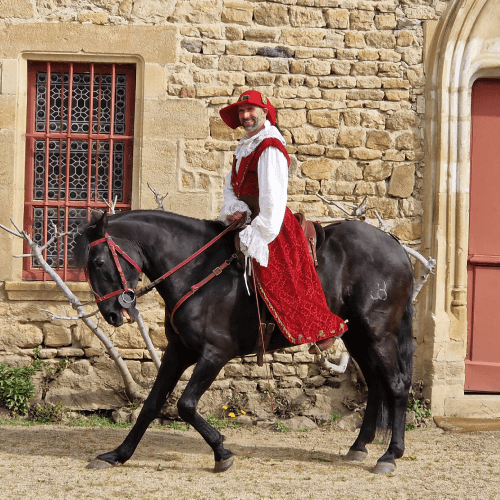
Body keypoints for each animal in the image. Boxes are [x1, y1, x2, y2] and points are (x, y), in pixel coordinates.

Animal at [74, 209, 416, 474]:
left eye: (99, 263)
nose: (111, 313)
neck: (197, 270)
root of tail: (396, 246)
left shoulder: (215, 353)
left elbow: (185, 405)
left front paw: (222, 451)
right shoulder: (179, 351)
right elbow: (152, 404)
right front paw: (117, 455)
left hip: (377, 333)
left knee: (396, 384)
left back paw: (390, 455)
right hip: (358, 336)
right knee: (375, 384)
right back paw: (359, 446)